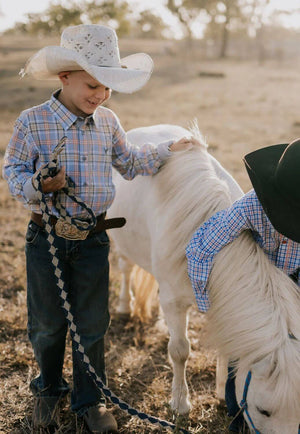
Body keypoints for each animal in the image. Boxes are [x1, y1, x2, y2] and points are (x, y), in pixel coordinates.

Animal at [108, 124, 300, 432]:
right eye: (264, 410)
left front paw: (222, 392)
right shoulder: (175, 302)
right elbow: (180, 351)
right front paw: (180, 404)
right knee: (126, 269)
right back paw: (125, 307)